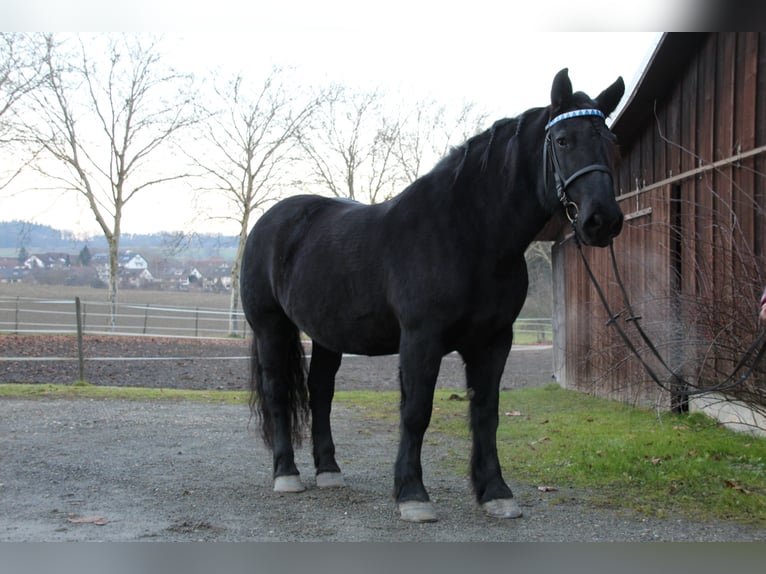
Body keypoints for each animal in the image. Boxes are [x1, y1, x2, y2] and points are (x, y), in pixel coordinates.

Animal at [243, 70, 628, 524]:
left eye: (611, 143)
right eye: (564, 140)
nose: (602, 220)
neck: (468, 234)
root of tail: (269, 220)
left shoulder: (494, 341)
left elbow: (486, 413)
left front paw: (495, 492)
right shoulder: (421, 339)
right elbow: (416, 412)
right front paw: (412, 495)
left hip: (326, 335)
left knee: (320, 391)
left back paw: (330, 472)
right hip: (271, 328)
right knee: (277, 392)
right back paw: (287, 475)